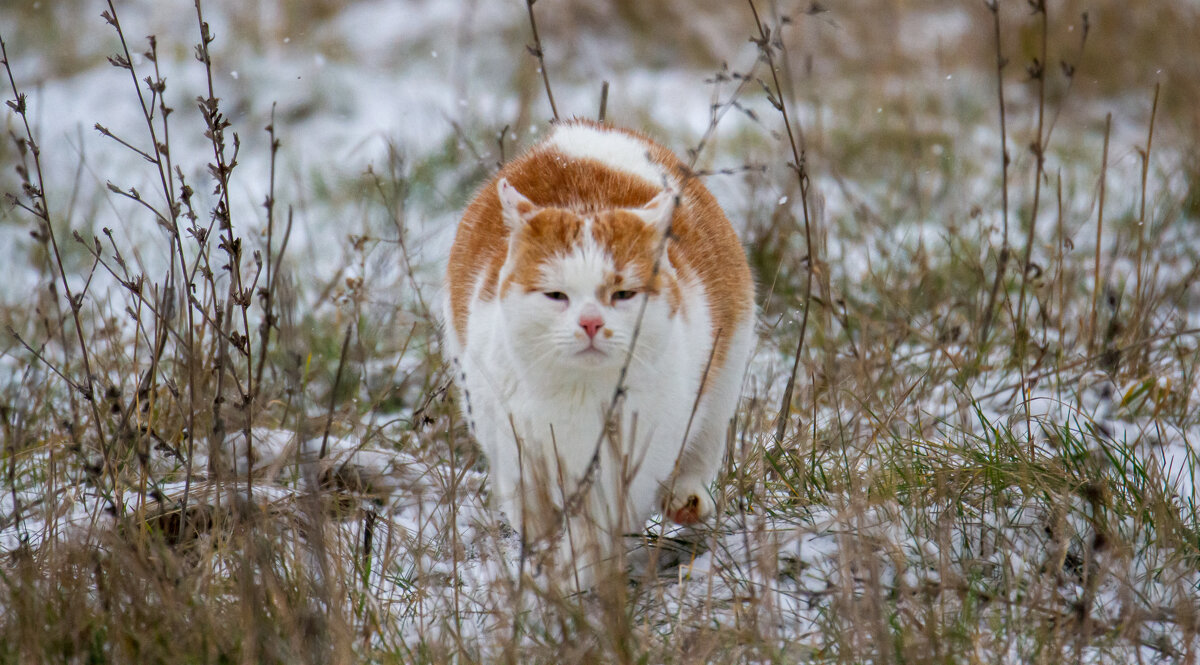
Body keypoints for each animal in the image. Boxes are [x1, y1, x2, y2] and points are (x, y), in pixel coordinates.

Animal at [446, 118, 753, 573]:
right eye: (556, 295)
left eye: (623, 294)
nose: (591, 323)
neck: (580, 390)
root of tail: (586, 129)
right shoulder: (516, 450)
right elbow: (533, 512)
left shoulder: (625, 466)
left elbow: (592, 533)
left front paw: (575, 574)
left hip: (723, 384)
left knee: (701, 453)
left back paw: (686, 500)